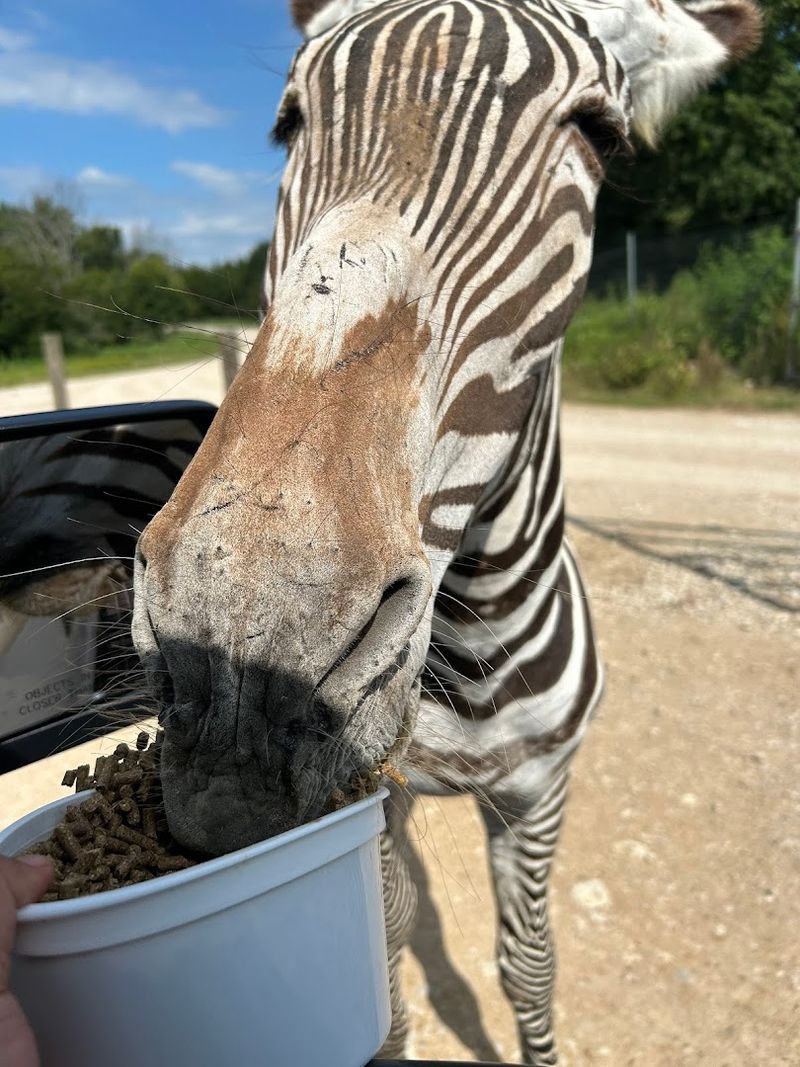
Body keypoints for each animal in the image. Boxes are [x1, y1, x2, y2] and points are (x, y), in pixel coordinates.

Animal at [131, 1, 761, 1062]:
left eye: (601, 133)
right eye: (289, 124)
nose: (243, 656)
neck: (475, 650)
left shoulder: (542, 789)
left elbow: (530, 967)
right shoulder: (377, 799)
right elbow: (382, 959)